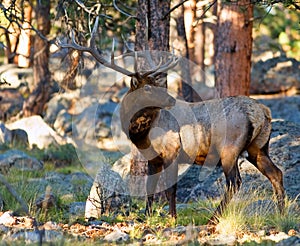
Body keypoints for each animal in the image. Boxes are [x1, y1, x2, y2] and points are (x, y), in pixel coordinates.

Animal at [59, 17, 286, 224]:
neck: (143, 134)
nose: (170, 99)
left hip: (229, 147)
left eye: (157, 84)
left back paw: (213, 218)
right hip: (258, 147)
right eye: (148, 87)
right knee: (276, 173)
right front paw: (147, 216)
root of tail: (262, 112)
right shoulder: (153, 158)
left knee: (235, 182)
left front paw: (172, 218)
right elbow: (150, 188)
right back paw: (280, 214)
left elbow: (171, 189)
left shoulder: (172, 150)